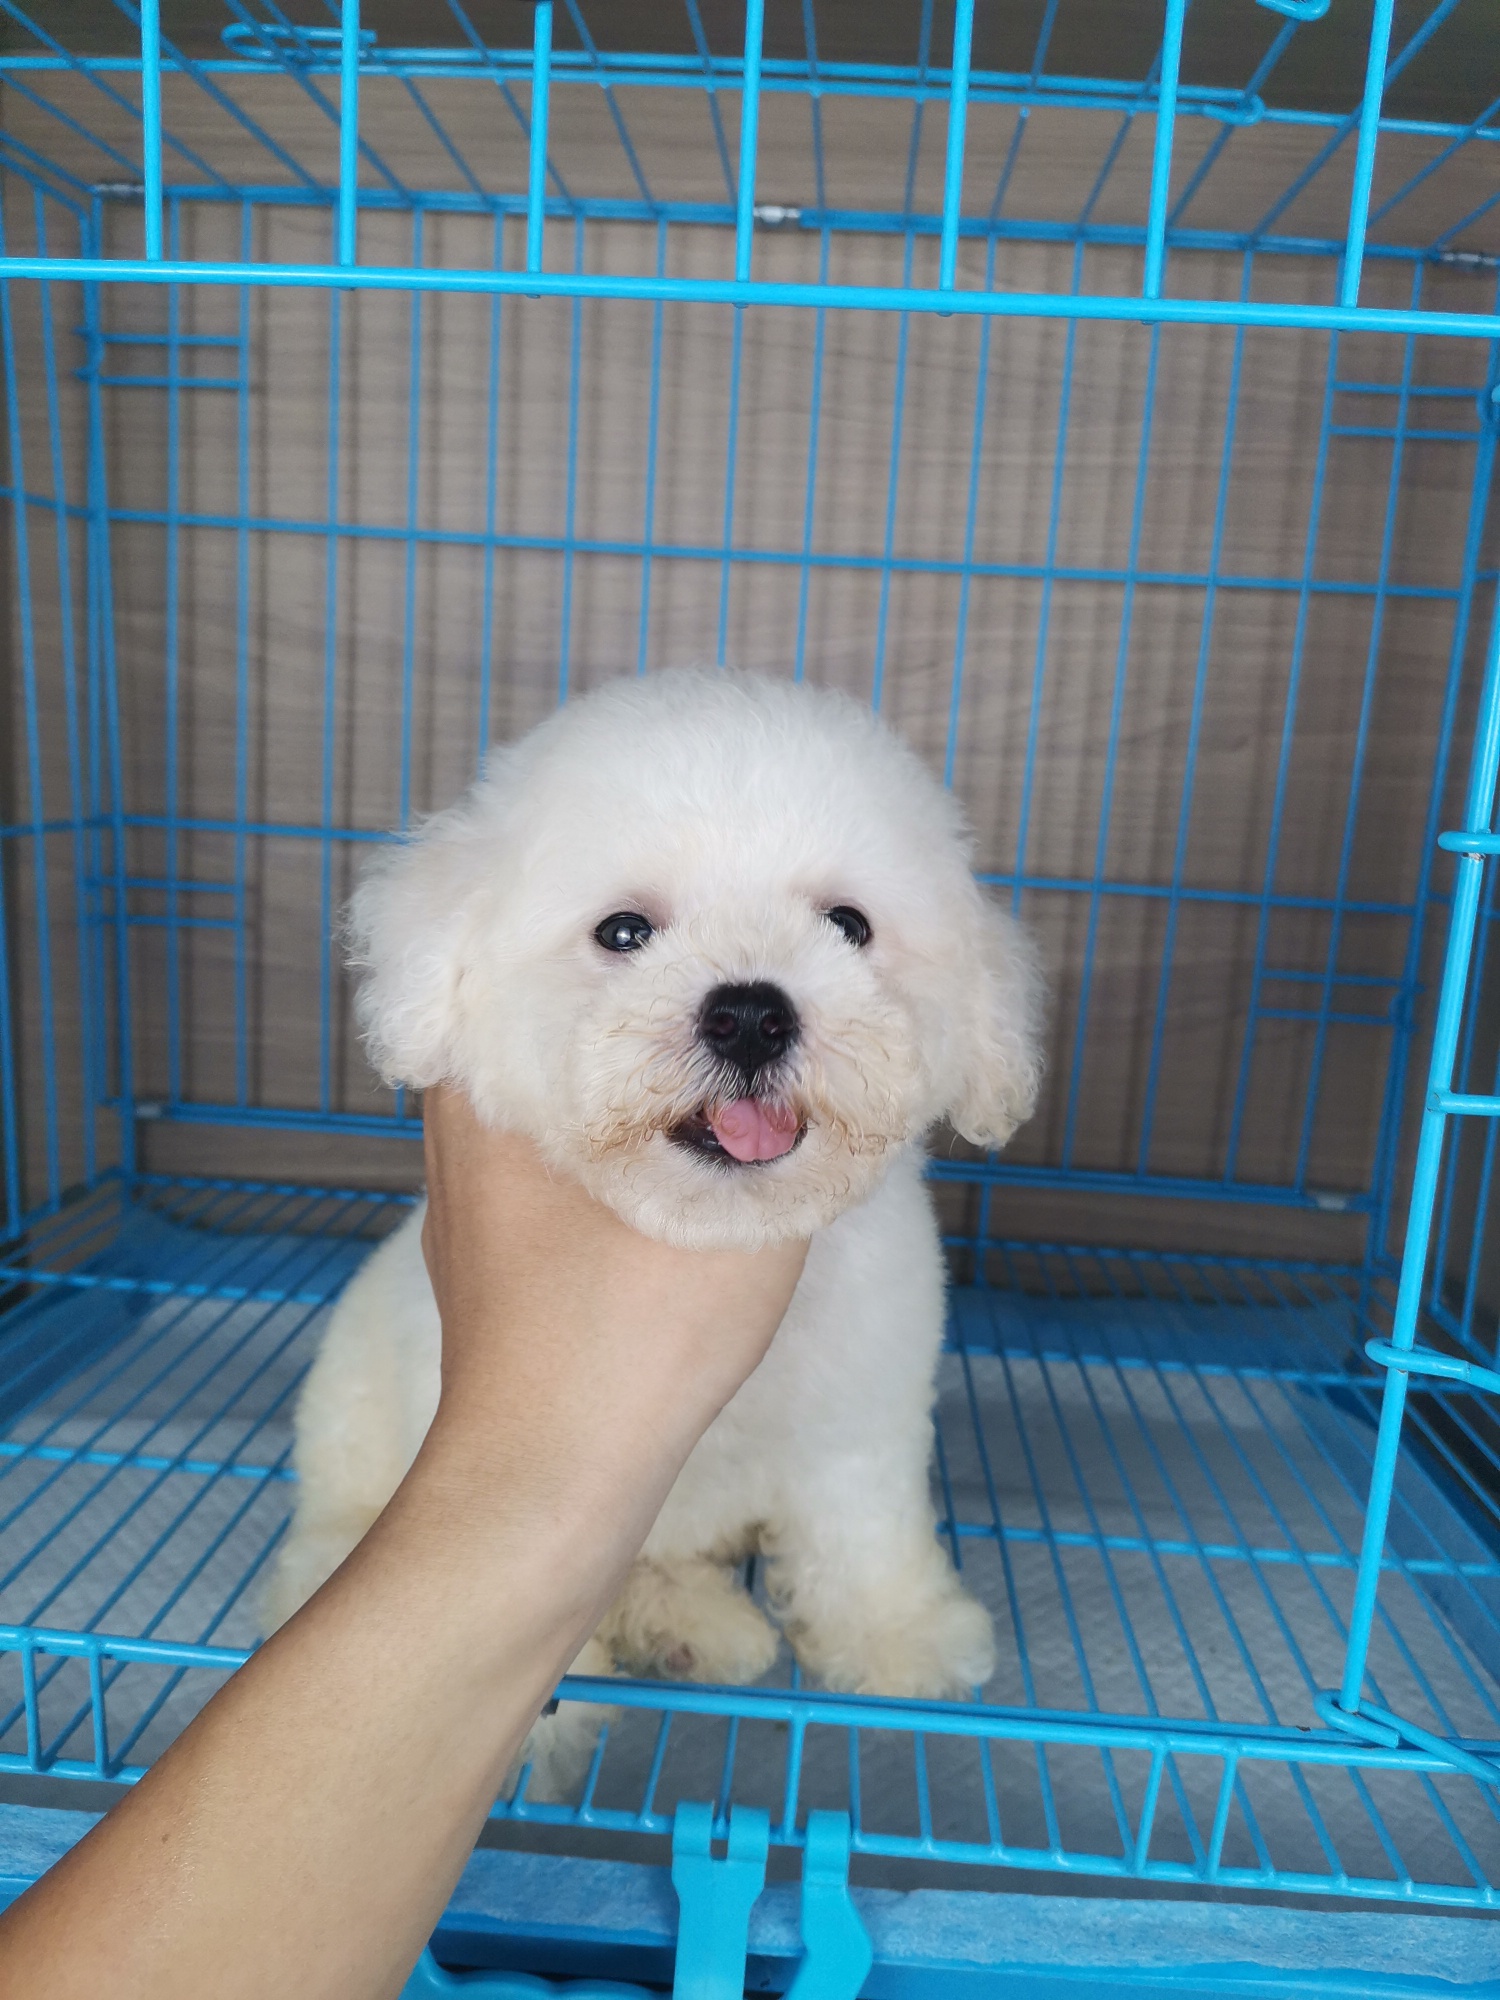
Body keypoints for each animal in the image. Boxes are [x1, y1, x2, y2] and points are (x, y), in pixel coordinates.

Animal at [263, 669, 1042, 1793]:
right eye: (624, 932)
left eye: (849, 924)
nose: (752, 1012)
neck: (709, 1233)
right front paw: (528, 1725)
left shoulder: (863, 1404)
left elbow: (863, 1522)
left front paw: (897, 1632)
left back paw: (696, 1624)